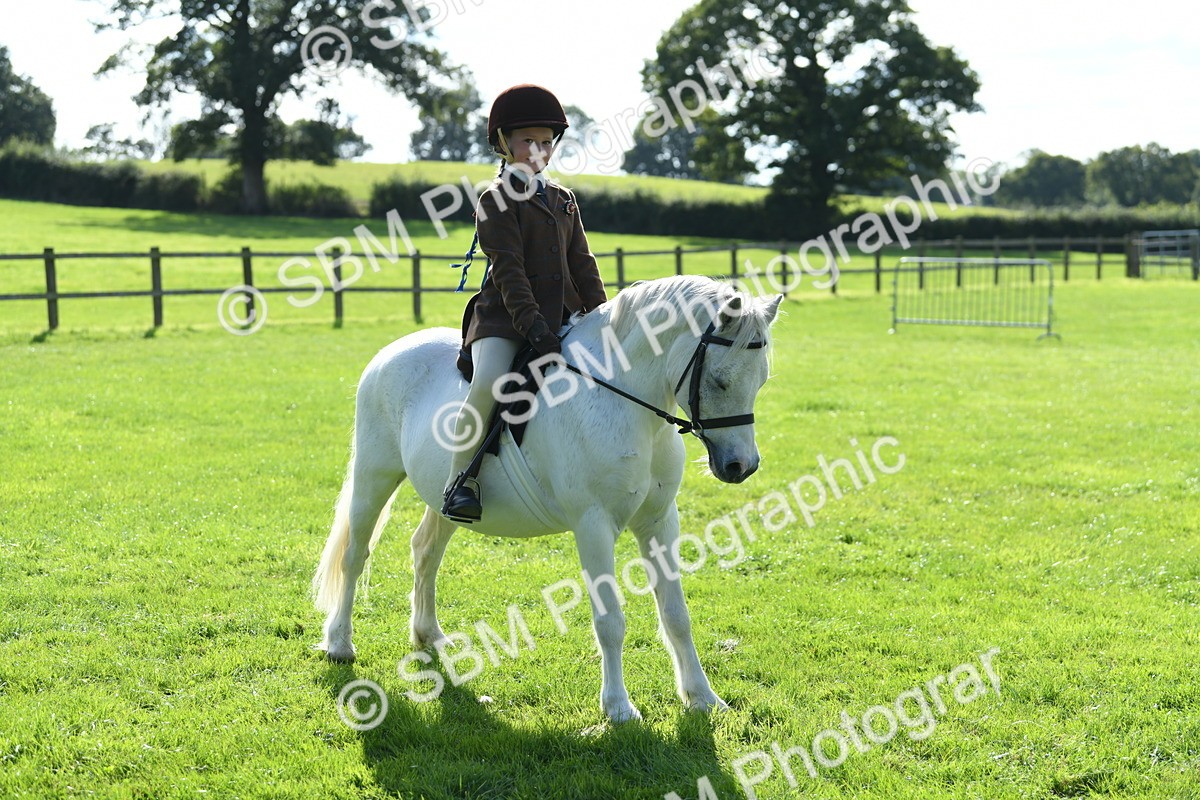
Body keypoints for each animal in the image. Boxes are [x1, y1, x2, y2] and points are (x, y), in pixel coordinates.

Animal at [313, 275, 783, 722]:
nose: (741, 466)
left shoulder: (660, 520)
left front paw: (703, 698)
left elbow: (677, 616)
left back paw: (429, 637)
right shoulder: (594, 524)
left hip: (443, 500)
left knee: (426, 552)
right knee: (355, 555)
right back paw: (339, 644)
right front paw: (619, 708)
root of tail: (390, 351)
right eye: (719, 381)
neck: (621, 399)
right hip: (374, 475)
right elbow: (610, 619)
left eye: (761, 381)